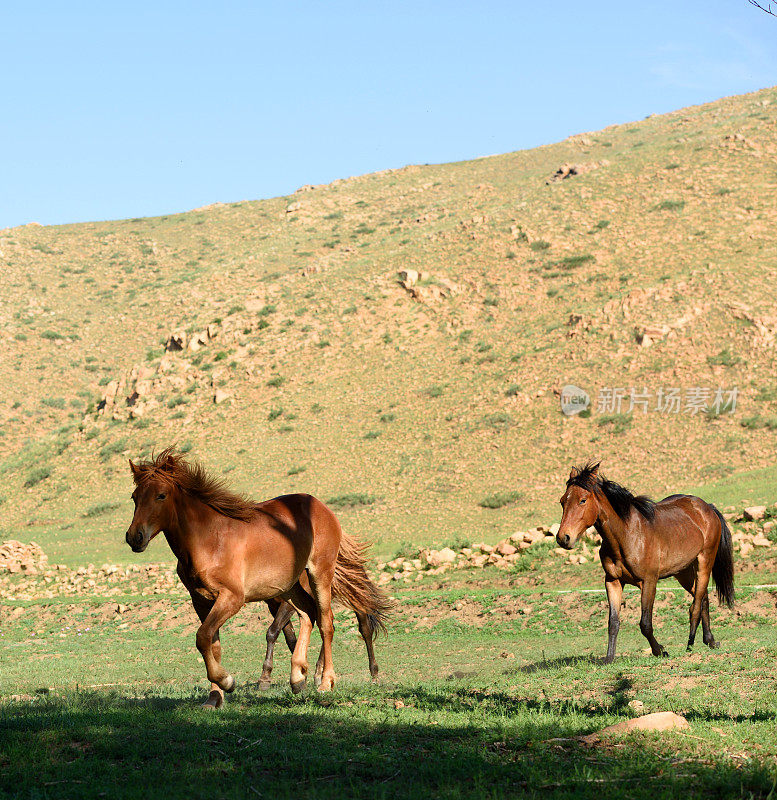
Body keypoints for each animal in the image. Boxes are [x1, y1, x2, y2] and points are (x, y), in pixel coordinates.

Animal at [125, 450, 392, 708]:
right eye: (134, 497)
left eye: (161, 496)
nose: (134, 537)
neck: (209, 540)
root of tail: (322, 508)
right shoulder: (201, 601)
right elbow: (212, 643)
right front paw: (214, 697)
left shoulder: (232, 598)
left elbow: (202, 637)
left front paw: (228, 682)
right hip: (288, 586)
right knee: (308, 613)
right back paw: (297, 677)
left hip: (319, 574)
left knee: (327, 622)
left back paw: (325, 681)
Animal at [556, 462, 732, 664]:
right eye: (562, 501)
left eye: (583, 500)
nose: (563, 538)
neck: (627, 535)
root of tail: (707, 508)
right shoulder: (613, 582)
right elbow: (613, 622)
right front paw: (609, 658)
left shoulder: (649, 582)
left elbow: (645, 623)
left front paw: (660, 650)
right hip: (684, 572)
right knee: (702, 598)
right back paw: (710, 640)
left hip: (704, 562)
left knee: (696, 605)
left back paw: (691, 643)